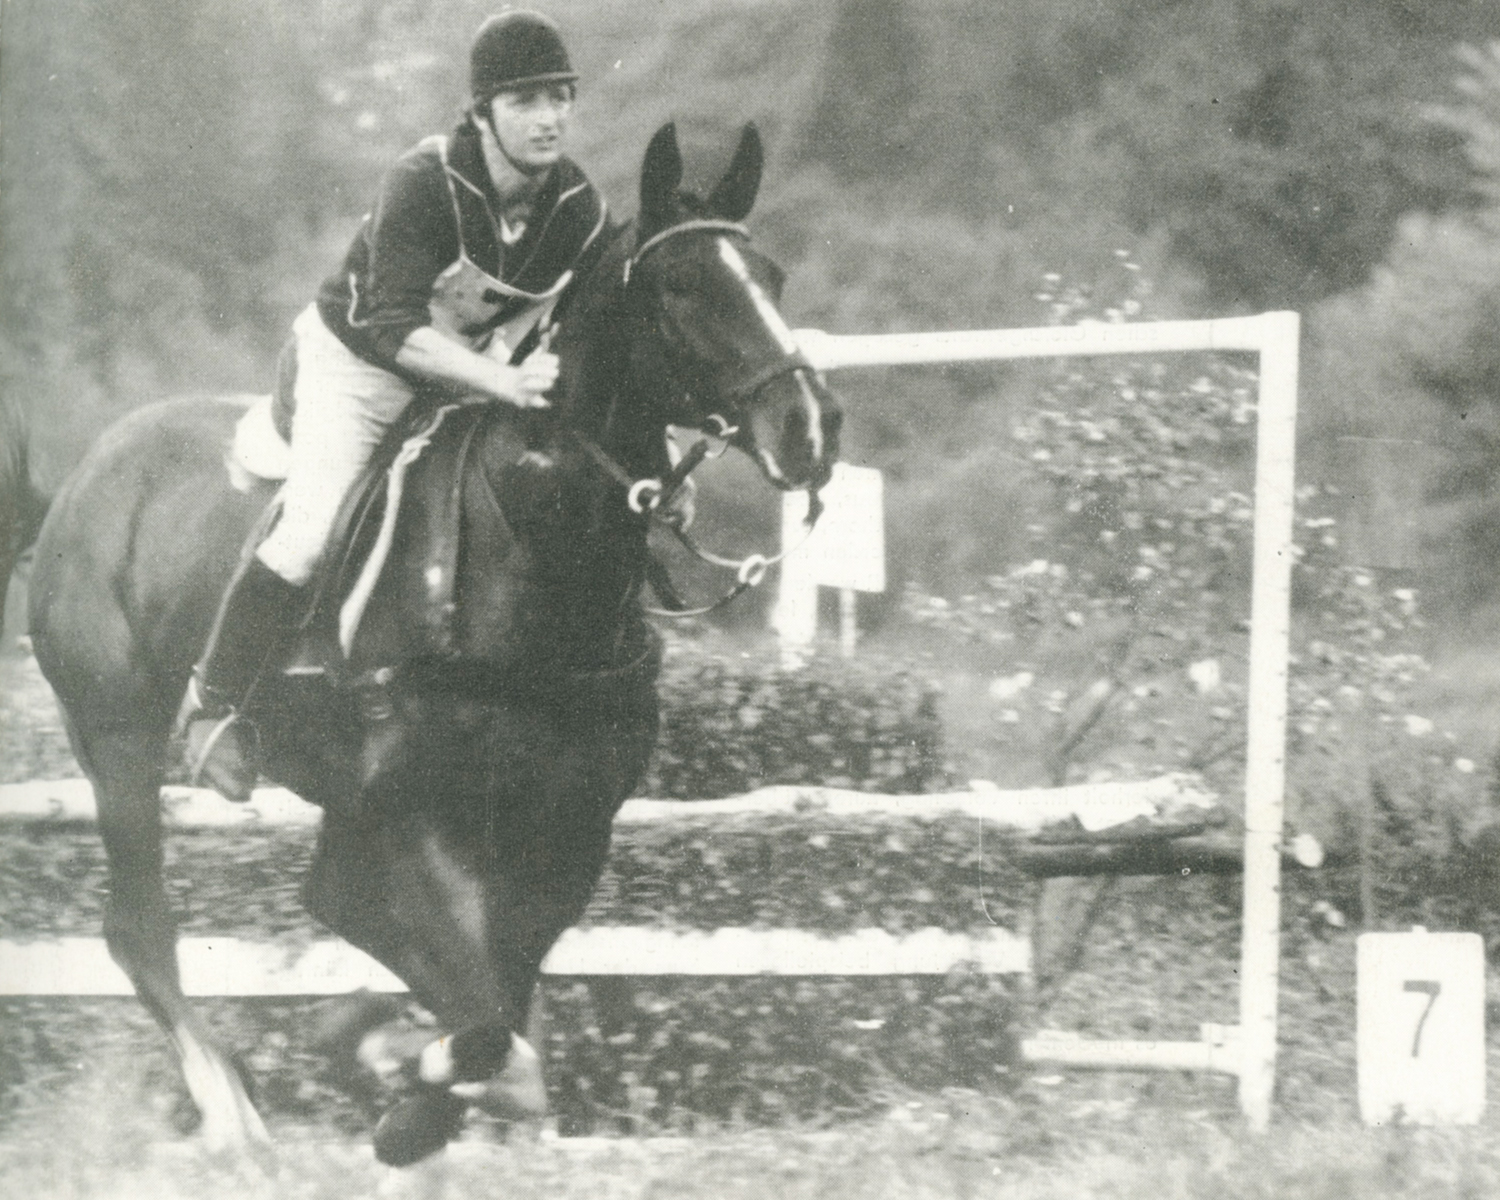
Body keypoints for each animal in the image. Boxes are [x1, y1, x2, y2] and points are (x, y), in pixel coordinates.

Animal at [23, 126, 840, 1170]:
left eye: (771, 276)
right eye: (682, 287)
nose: (814, 427)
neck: (532, 547)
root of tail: (86, 476)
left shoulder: (568, 823)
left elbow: (499, 986)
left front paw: (396, 1063)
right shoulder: (411, 813)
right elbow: (481, 1013)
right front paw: (404, 1087)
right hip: (119, 744)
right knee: (140, 927)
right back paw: (234, 1116)